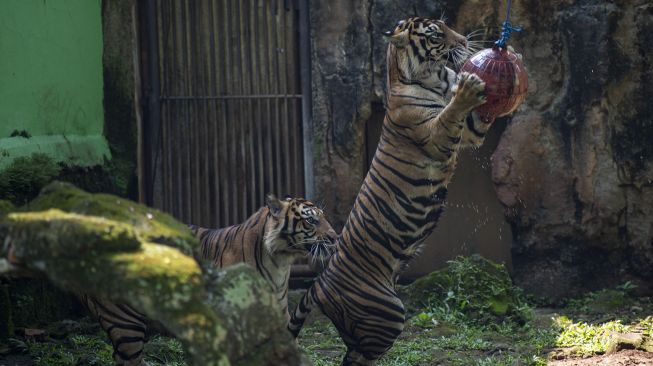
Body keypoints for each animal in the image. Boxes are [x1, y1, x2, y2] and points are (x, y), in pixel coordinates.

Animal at [288, 16, 496, 364]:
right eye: (436, 34)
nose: (466, 40)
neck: (434, 79)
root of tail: (318, 284)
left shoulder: (469, 134)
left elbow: (480, 120)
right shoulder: (437, 136)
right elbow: (451, 112)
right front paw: (468, 89)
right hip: (388, 312)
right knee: (358, 357)